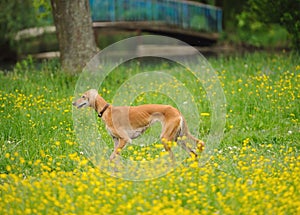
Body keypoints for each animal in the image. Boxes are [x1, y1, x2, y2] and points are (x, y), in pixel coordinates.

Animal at [72, 88, 204, 161]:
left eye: (83, 96)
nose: (73, 103)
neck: (106, 111)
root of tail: (177, 110)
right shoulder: (116, 140)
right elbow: (115, 160)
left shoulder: (125, 139)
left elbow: (111, 158)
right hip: (179, 138)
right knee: (195, 153)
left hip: (166, 139)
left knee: (174, 158)